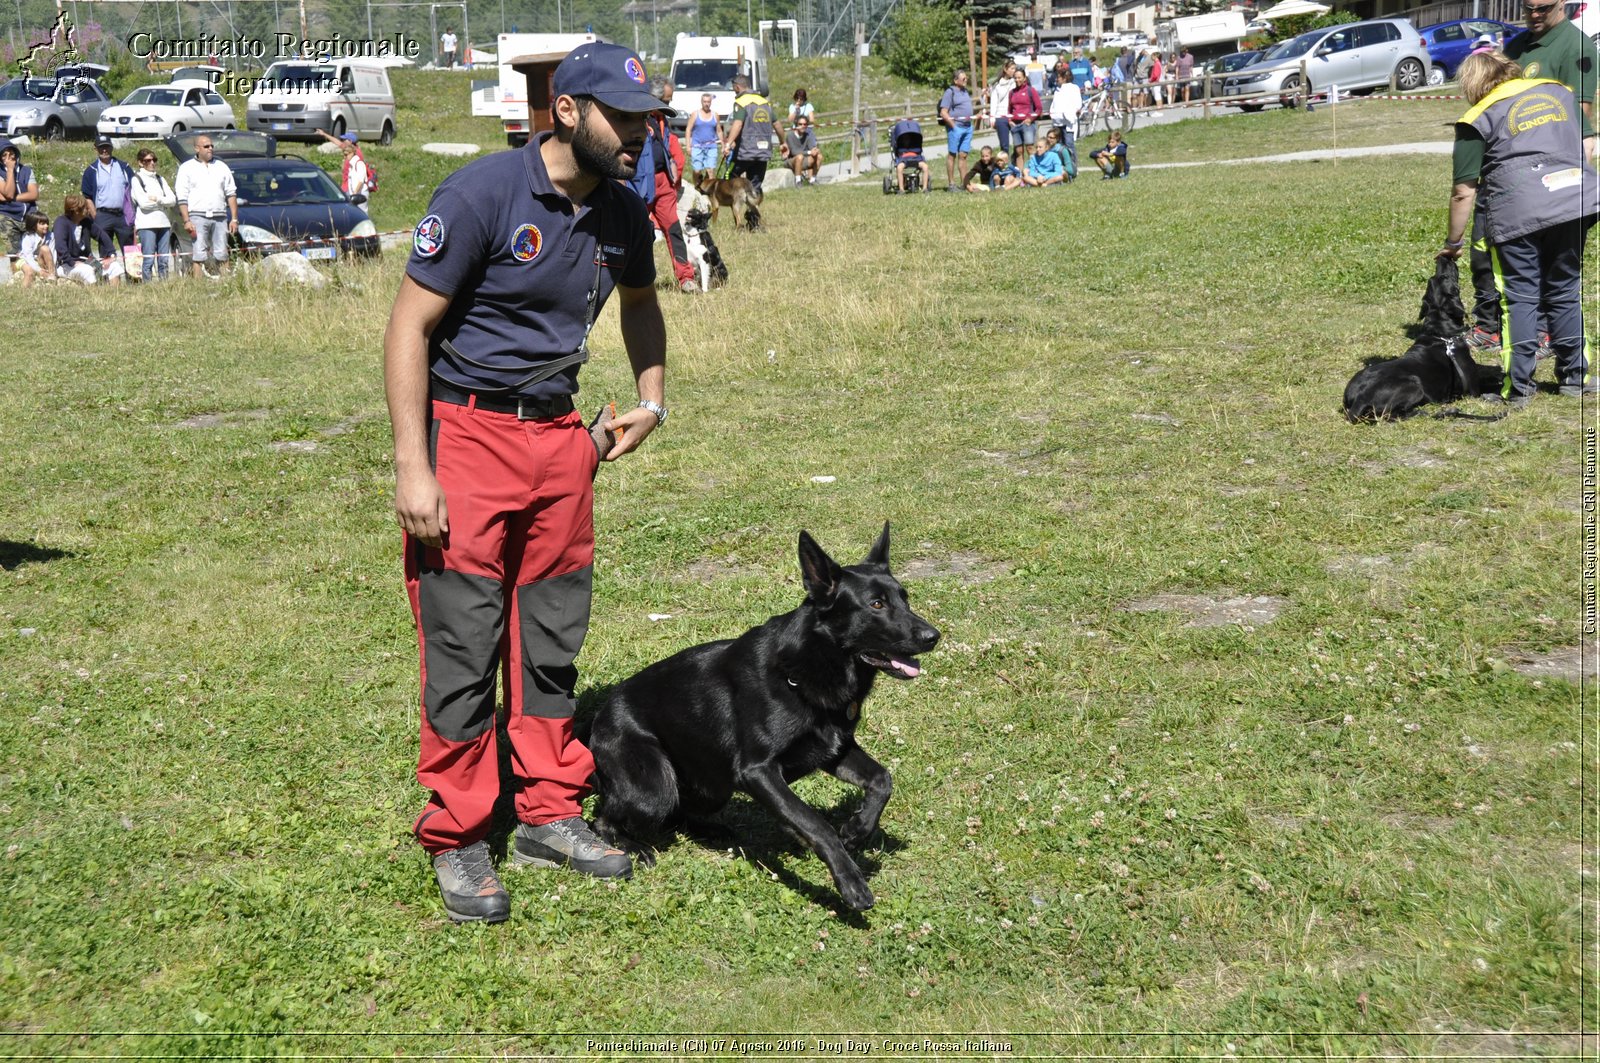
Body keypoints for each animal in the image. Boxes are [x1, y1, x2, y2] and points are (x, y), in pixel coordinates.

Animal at [588, 528, 934, 909]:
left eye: (905, 599)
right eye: (876, 605)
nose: (933, 637)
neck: (806, 667)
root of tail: (598, 717)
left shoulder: (834, 751)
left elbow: (882, 780)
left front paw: (858, 830)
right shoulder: (758, 771)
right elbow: (816, 823)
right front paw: (850, 880)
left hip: (712, 788)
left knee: (677, 815)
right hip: (654, 789)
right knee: (603, 821)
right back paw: (635, 847)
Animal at [1344, 257, 1504, 422]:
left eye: (1434, 278)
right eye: (1445, 277)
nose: (1443, 258)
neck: (1441, 333)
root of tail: (1360, 399)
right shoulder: (1472, 389)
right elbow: (1492, 385)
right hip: (1414, 384)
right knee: (1390, 415)